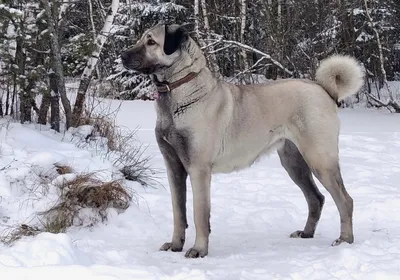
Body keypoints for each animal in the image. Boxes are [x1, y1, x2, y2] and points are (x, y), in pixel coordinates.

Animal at [121, 24, 366, 258]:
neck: (179, 93)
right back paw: (306, 233)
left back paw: (345, 239)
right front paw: (175, 245)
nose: (122, 55)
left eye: (151, 42)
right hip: (294, 163)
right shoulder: (174, 168)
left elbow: (199, 213)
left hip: (319, 159)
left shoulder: (199, 169)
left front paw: (199, 250)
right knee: (316, 198)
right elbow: (178, 212)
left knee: (345, 200)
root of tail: (324, 90)